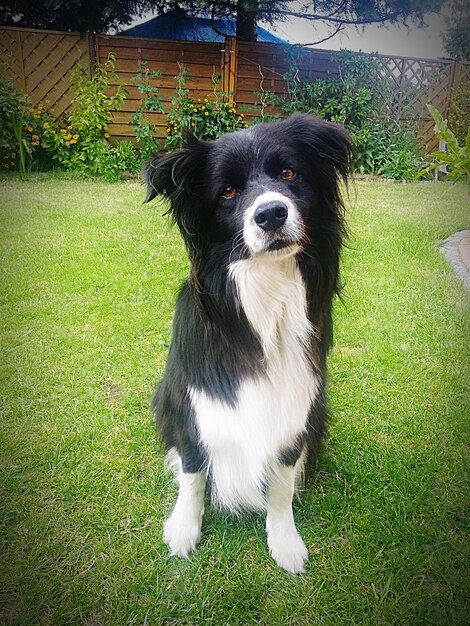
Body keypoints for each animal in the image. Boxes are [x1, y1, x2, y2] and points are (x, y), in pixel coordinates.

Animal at [145, 112, 350, 572]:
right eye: (228, 191)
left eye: (289, 173)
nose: (271, 214)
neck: (266, 291)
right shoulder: (193, 400)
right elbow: (193, 469)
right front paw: (184, 526)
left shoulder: (297, 405)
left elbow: (281, 481)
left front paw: (284, 538)